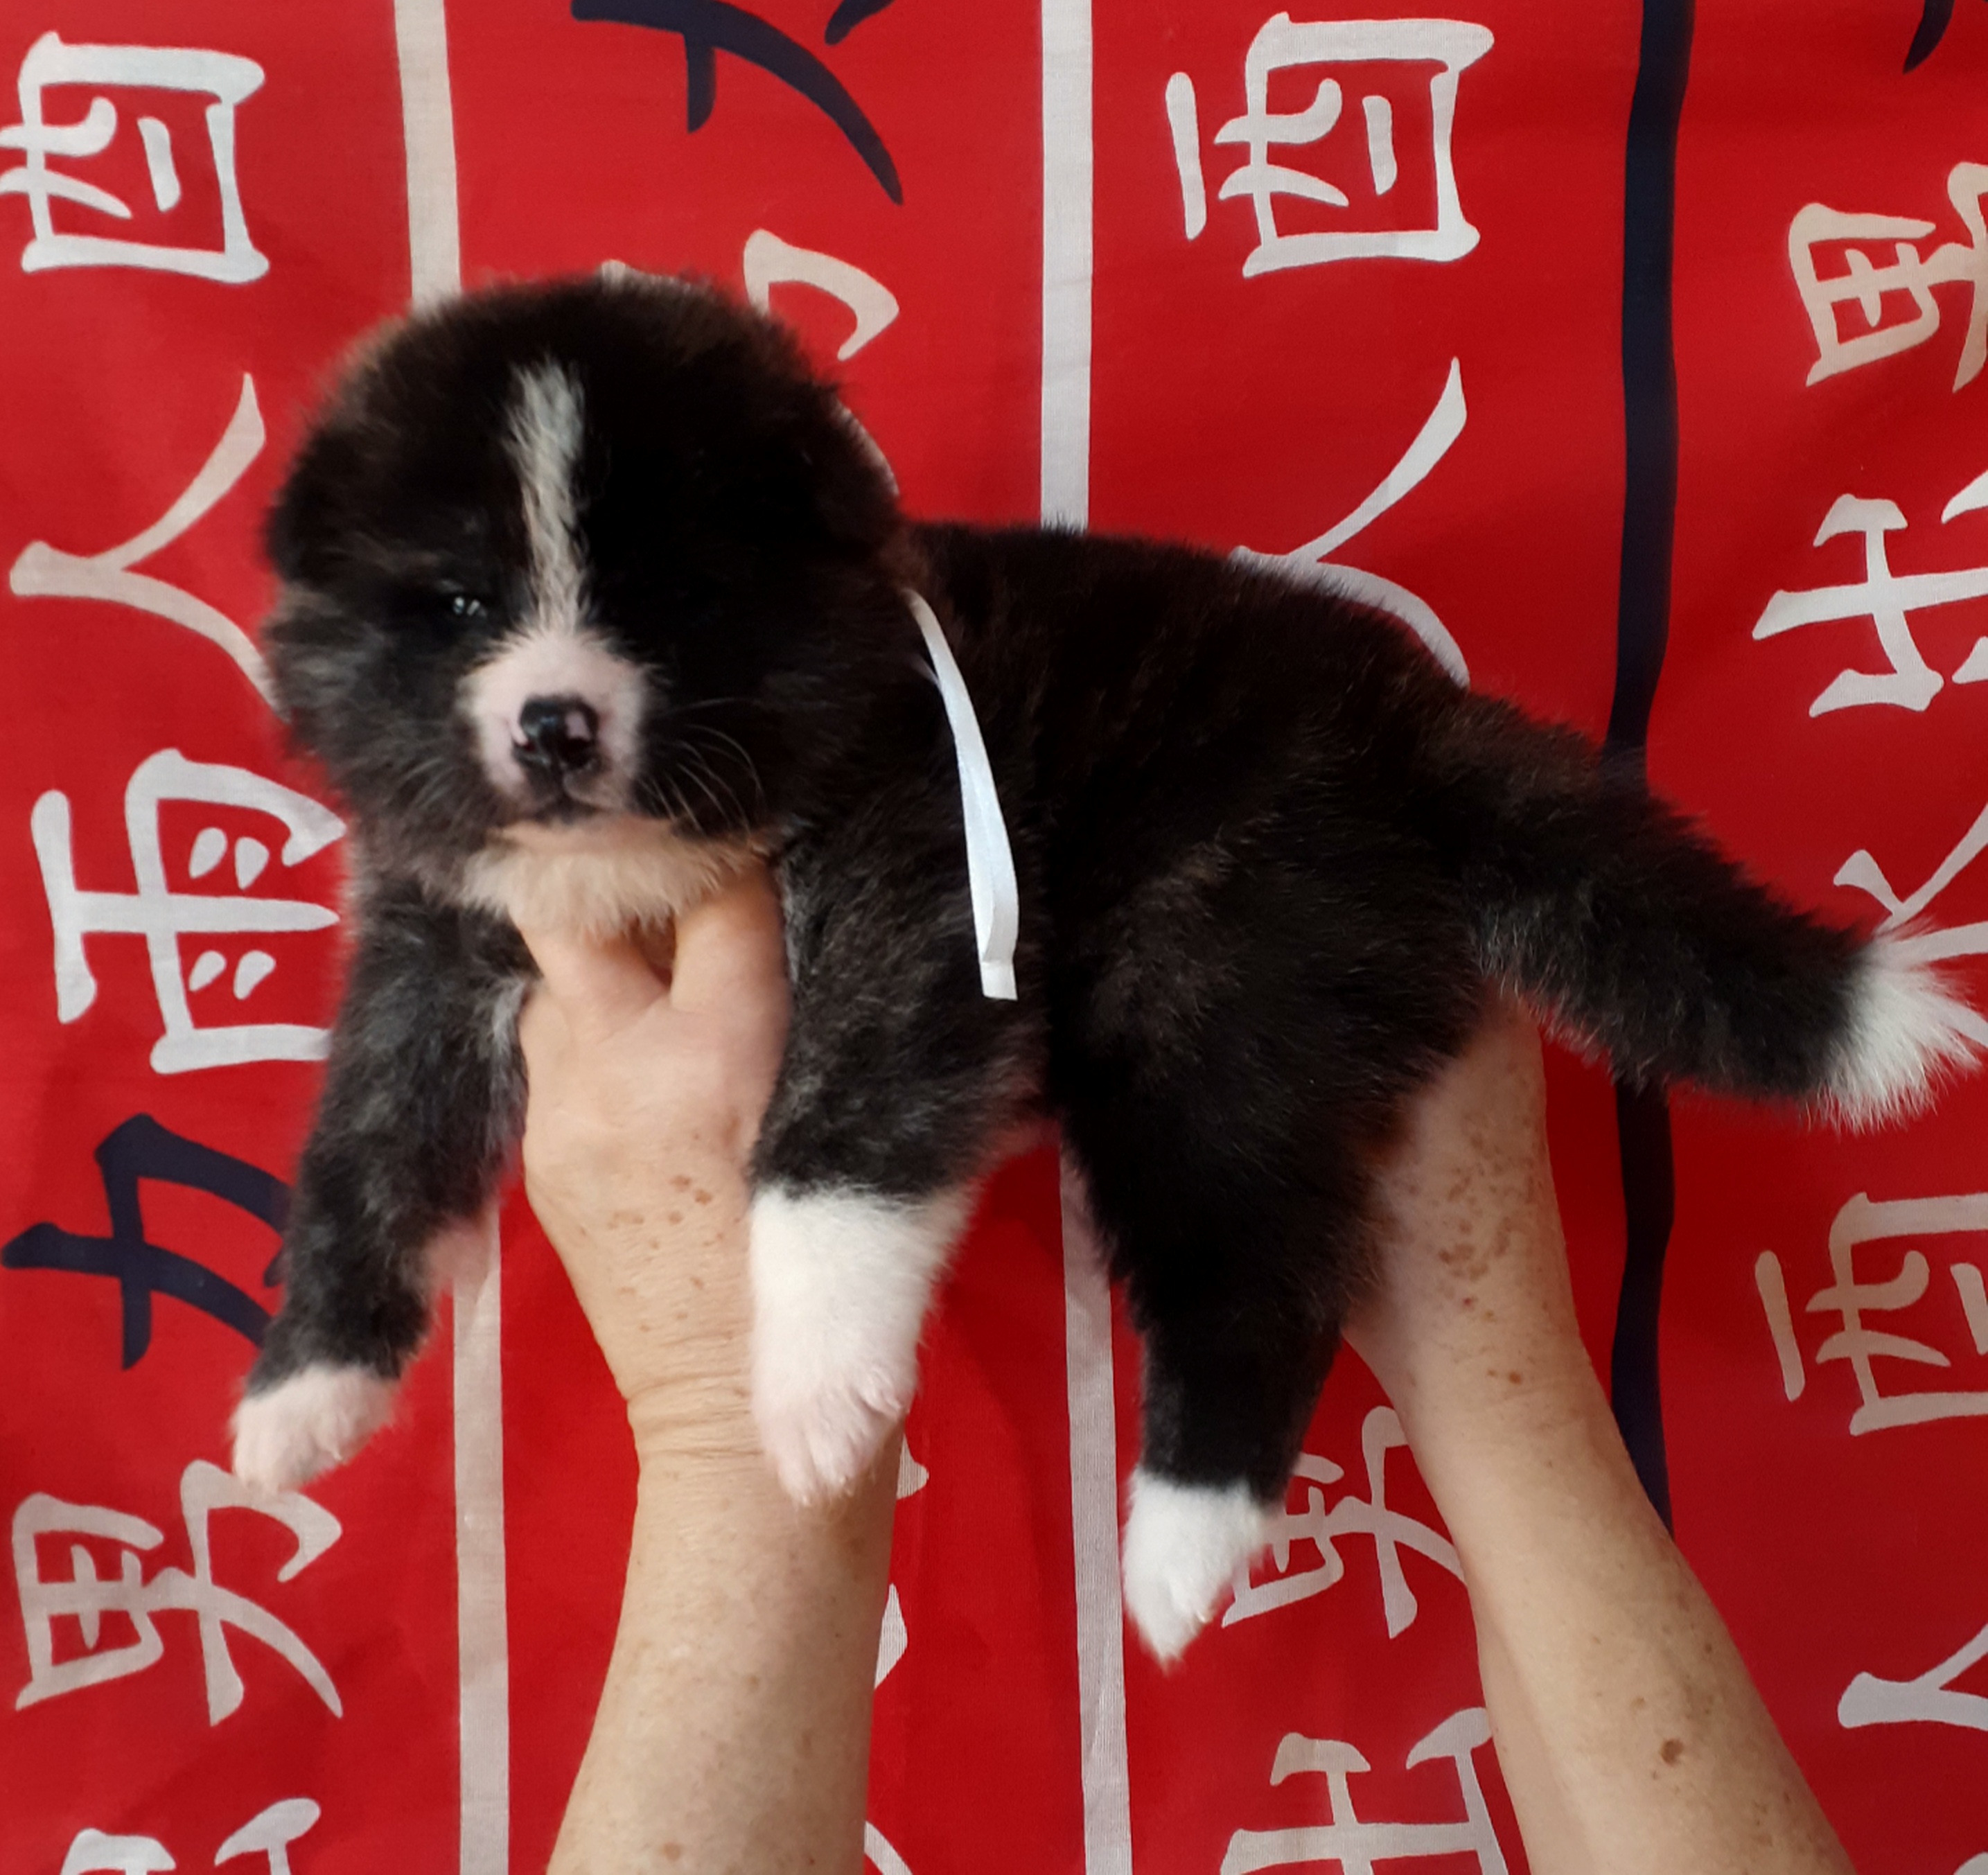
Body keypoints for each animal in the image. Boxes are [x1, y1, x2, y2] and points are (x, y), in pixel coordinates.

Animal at [232, 271, 1977, 1660]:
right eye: (460, 600)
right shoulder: (436, 934)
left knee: (1253, 1262)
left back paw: (1178, 1543)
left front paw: (813, 1385)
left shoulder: (914, 888)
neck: (652, 852)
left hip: (1201, 982)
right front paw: (307, 1383)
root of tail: (1403, 721)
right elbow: (368, 1131)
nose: (553, 723)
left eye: (669, 599)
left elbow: (828, 1143)